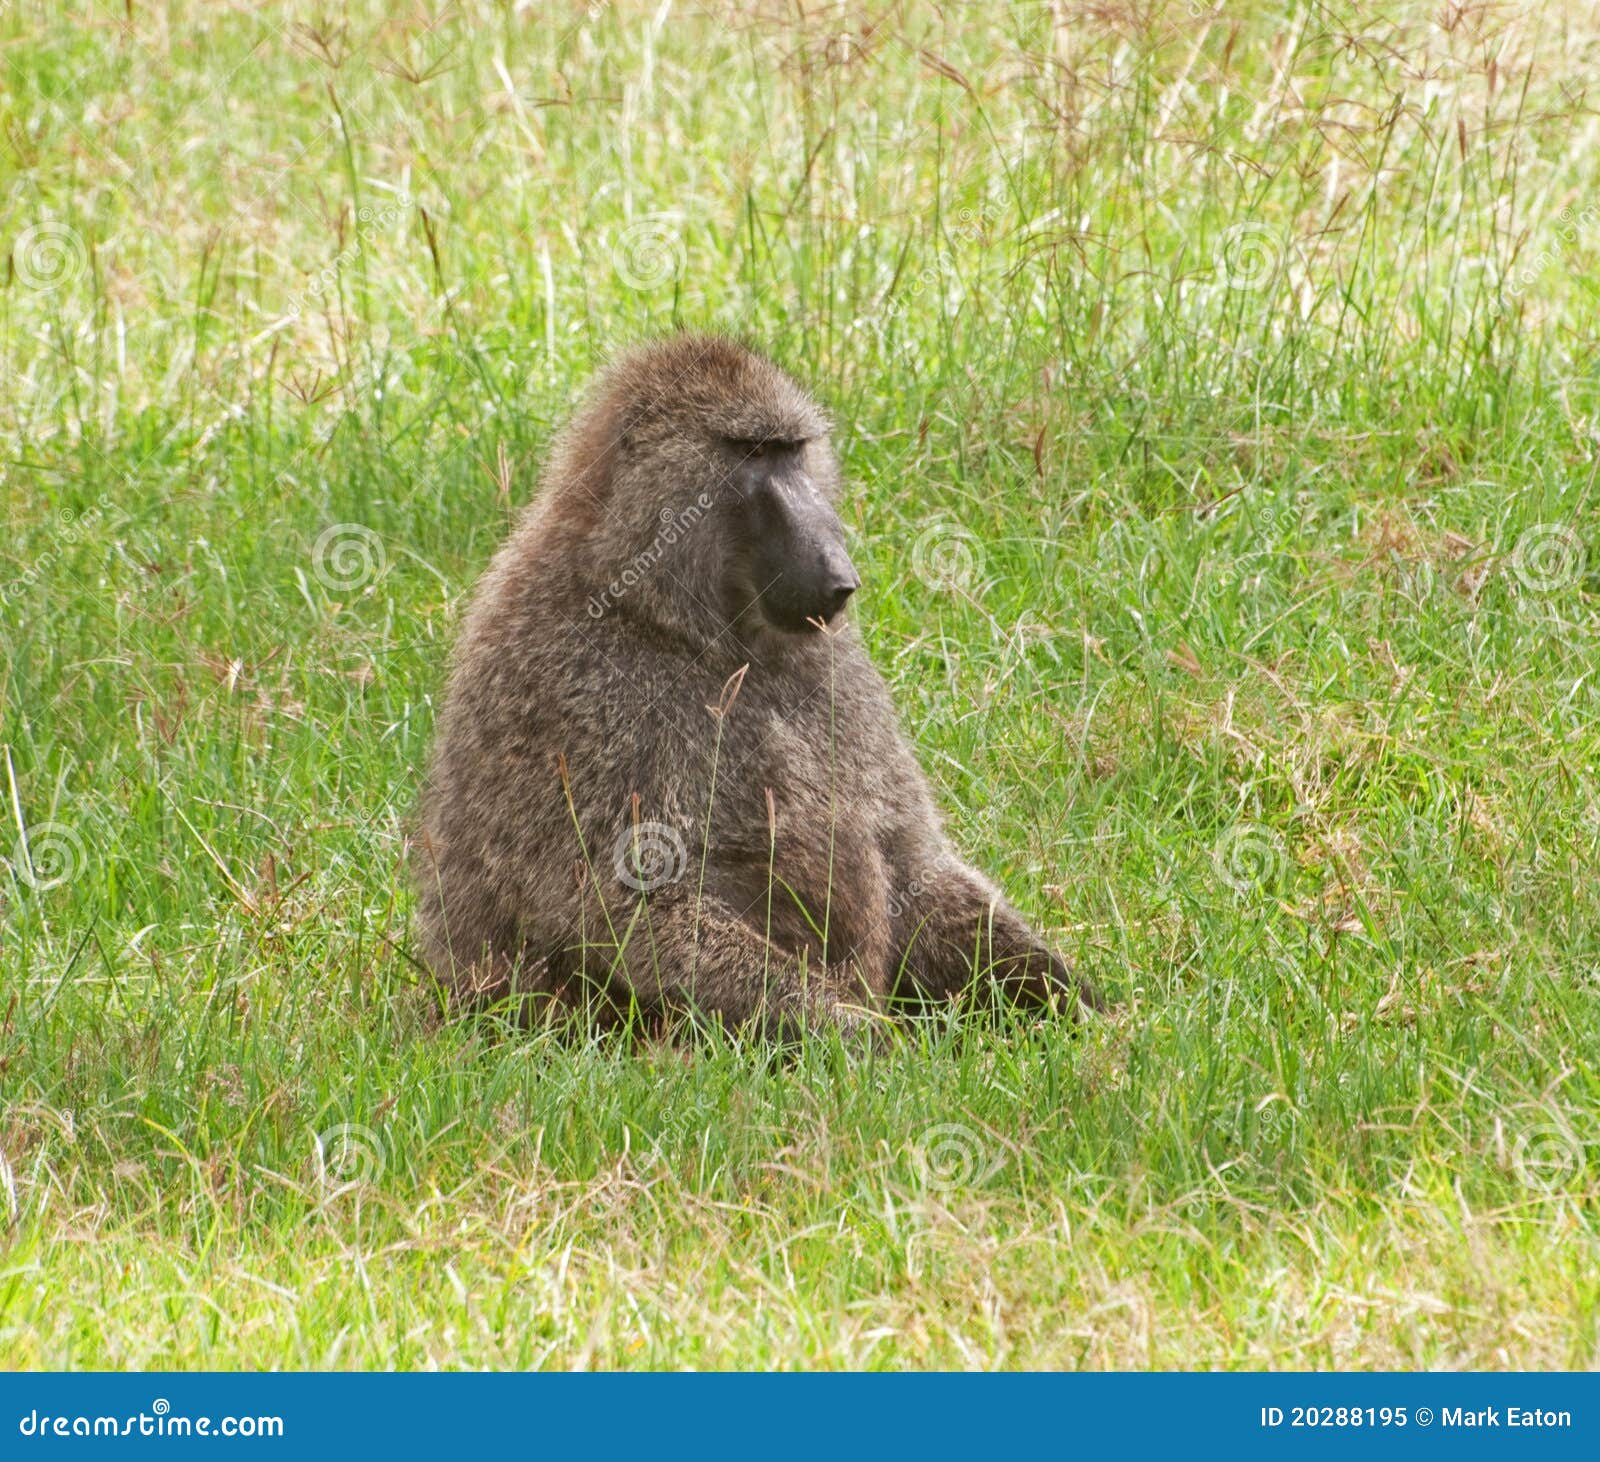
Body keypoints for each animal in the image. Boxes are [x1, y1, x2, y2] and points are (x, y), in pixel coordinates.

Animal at [415, 334, 1104, 1040]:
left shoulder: (837, 666)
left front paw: (1071, 1004)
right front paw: (866, 1039)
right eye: (750, 454)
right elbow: (621, 900)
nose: (838, 573)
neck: (682, 622)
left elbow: (912, 861)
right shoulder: (561, 680)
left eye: (792, 452)